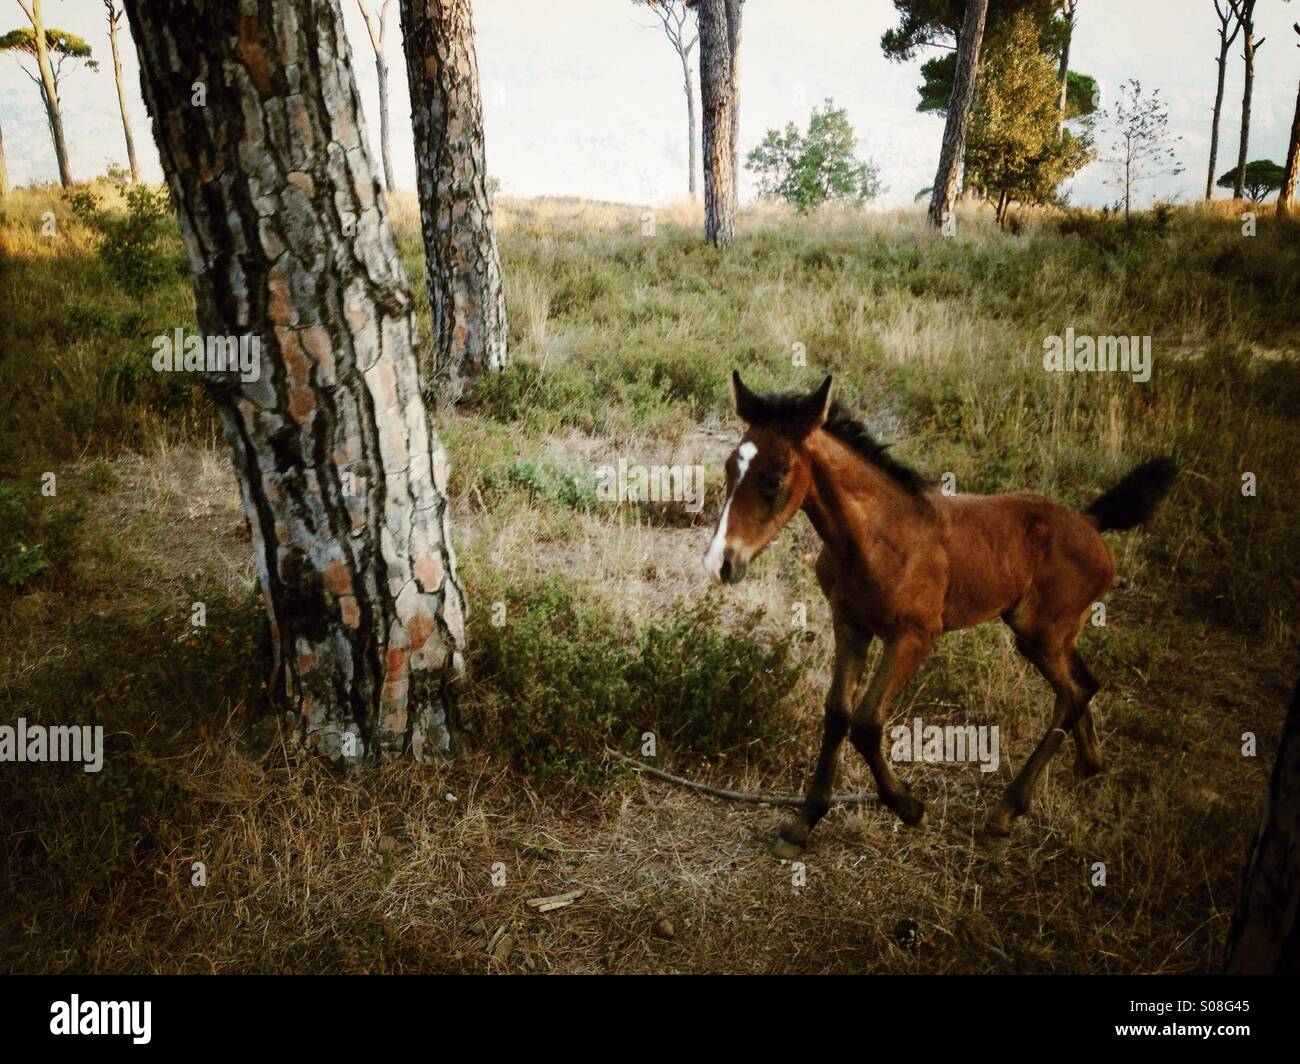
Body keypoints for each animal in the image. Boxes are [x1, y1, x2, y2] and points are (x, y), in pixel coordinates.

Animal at [702, 371, 1177, 858]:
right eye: (729, 468)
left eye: (775, 478)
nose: (722, 562)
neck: (877, 537)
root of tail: (1091, 524)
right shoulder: (850, 625)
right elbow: (837, 714)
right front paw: (802, 825)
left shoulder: (914, 635)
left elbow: (866, 722)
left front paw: (909, 807)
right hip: (1055, 634)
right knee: (1083, 686)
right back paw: (1087, 765)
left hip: (1039, 635)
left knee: (1073, 693)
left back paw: (1004, 813)